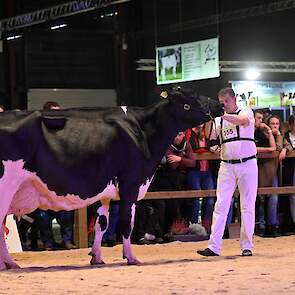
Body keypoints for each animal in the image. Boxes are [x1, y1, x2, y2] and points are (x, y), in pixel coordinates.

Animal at [0, 86, 222, 270]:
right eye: (189, 101)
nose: (218, 105)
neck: (142, 129)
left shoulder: (106, 191)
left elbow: (103, 223)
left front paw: (97, 257)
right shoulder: (130, 183)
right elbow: (126, 223)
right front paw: (131, 257)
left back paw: (9, 263)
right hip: (6, 187)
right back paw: (8, 263)